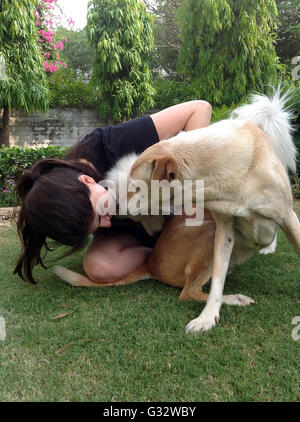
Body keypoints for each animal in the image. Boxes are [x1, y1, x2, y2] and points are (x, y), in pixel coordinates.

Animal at [54, 88, 300, 332]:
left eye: (135, 187)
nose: (112, 206)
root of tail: (150, 263)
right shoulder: (224, 229)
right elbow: (216, 282)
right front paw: (207, 317)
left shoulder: (288, 217)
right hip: (208, 235)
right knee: (188, 292)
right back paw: (233, 298)